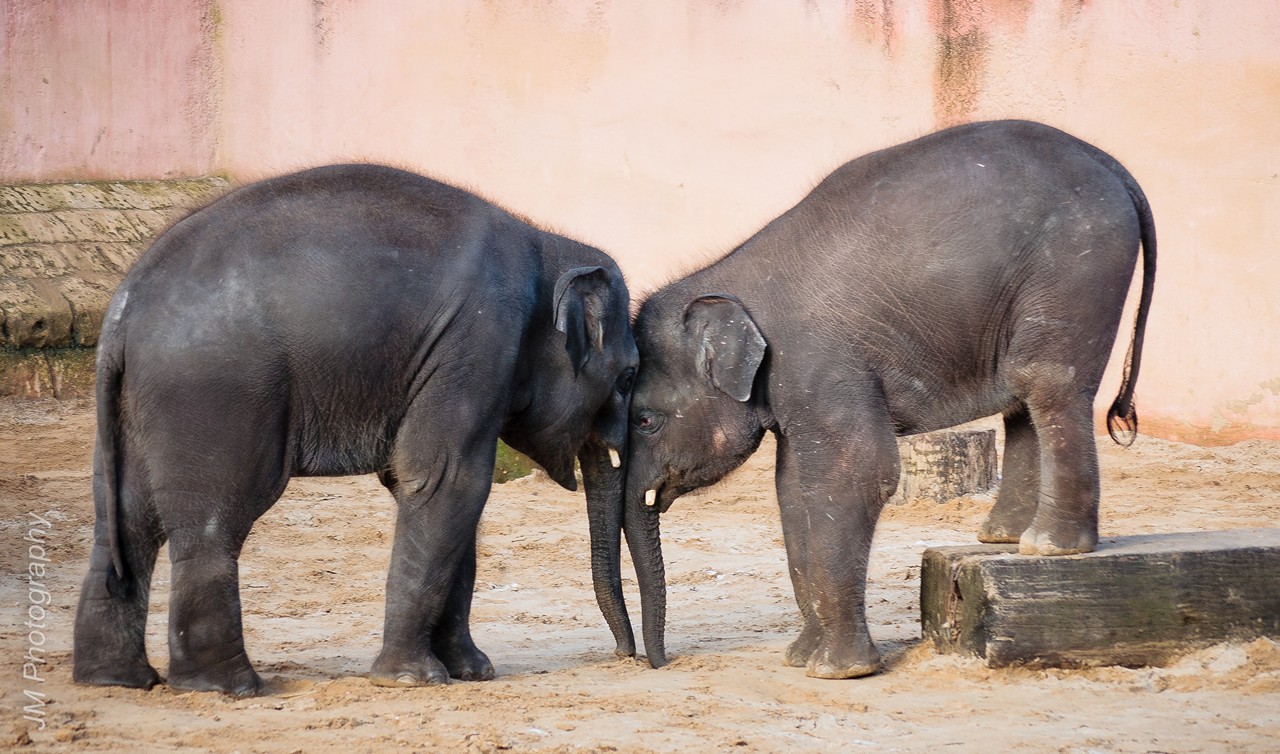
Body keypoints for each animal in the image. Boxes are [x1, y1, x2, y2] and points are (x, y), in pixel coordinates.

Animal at [71, 163, 645, 696]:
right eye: (628, 376)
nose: (629, 656)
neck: (545, 244)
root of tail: (123, 308)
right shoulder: (477, 343)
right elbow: (449, 482)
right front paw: (413, 680)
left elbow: (445, 496)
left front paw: (471, 672)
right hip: (214, 394)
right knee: (214, 522)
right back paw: (228, 687)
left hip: (135, 408)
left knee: (124, 520)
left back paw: (116, 680)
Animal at [604, 122, 1157, 675]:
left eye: (645, 420)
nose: (654, 661)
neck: (725, 280)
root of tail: (1112, 165)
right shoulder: (796, 385)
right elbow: (792, 487)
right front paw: (800, 658)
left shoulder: (820, 362)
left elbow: (858, 470)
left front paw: (837, 670)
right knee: (1021, 396)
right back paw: (1002, 538)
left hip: (1074, 268)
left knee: (1045, 381)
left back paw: (1048, 548)